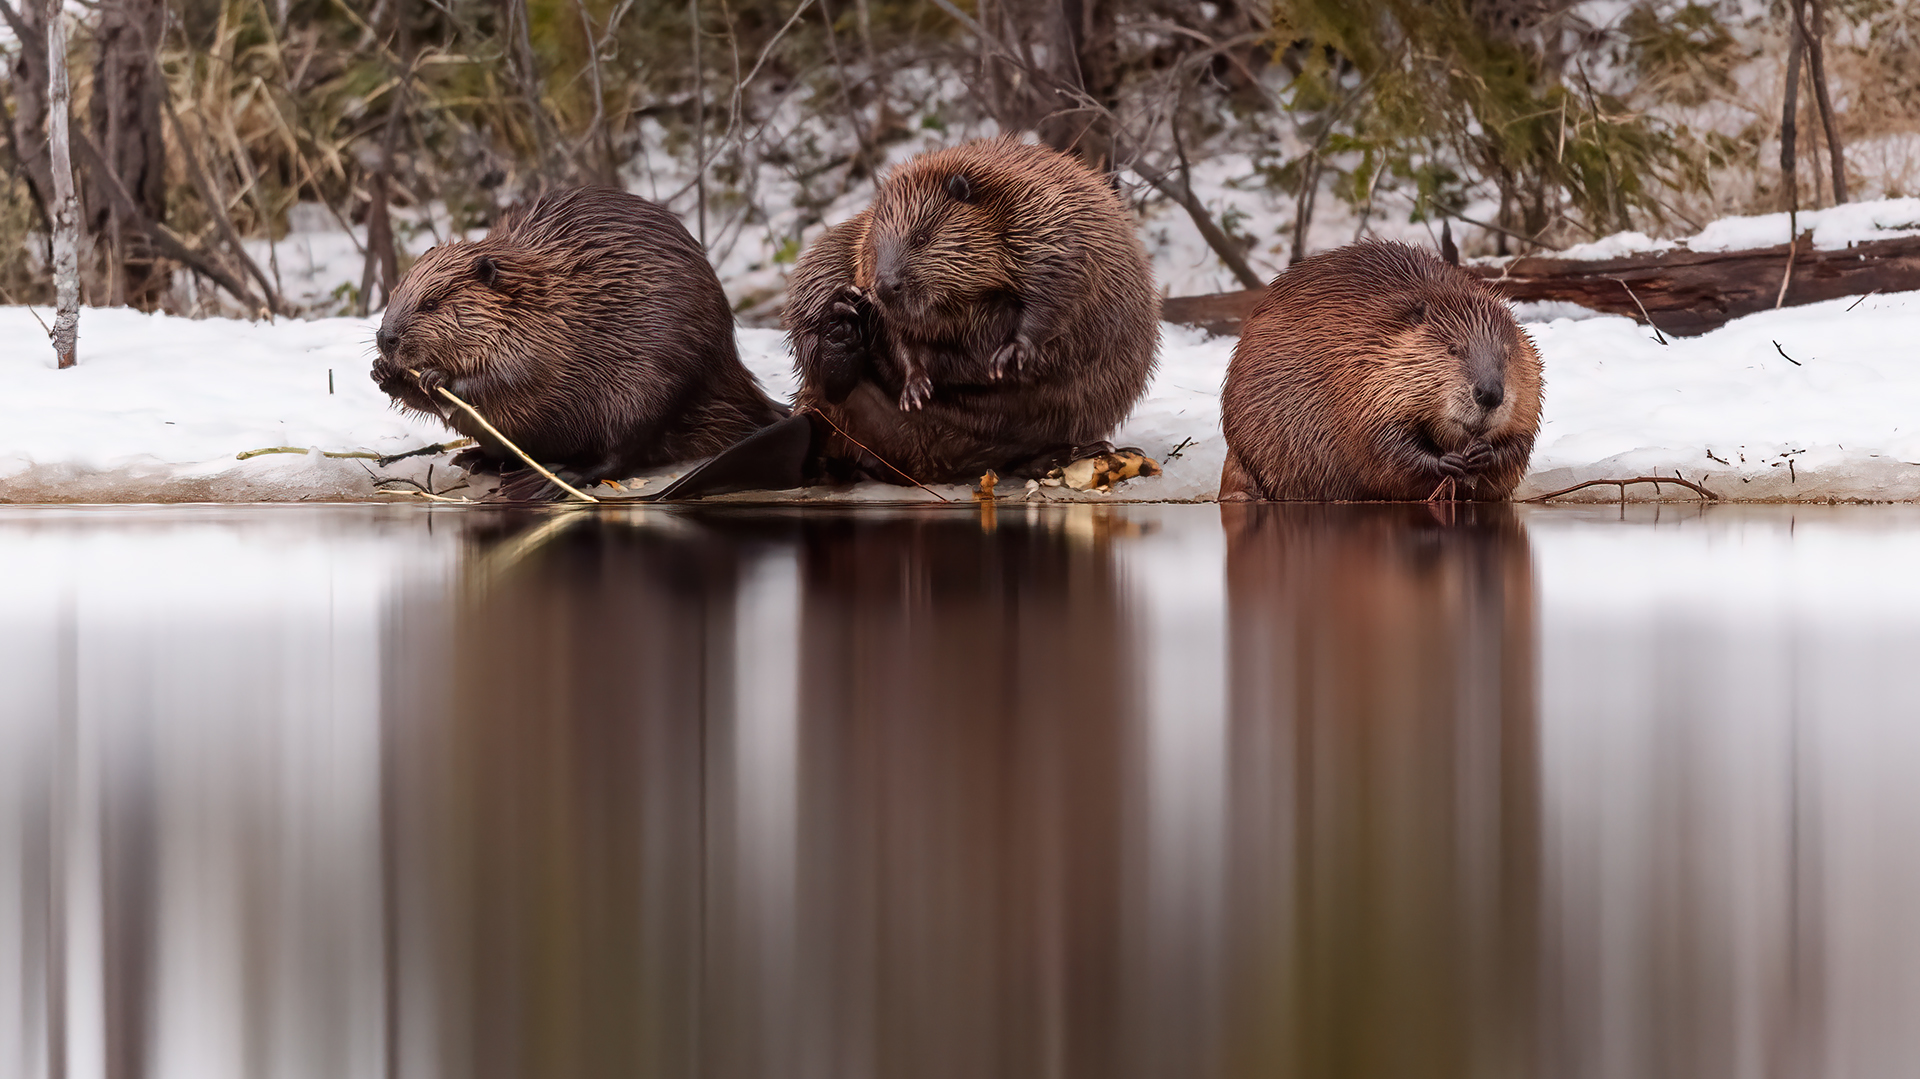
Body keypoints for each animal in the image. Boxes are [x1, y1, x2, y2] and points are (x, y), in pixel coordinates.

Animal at [370, 186, 783, 487]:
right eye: (394, 292)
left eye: (431, 303)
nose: (385, 337)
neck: (540, 295)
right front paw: (383, 373)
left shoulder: (548, 335)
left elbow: (514, 378)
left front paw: (436, 377)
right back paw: (475, 459)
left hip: (646, 391)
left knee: (622, 454)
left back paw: (554, 478)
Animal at [779, 135, 1152, 483]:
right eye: (875, 245)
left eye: (921, 238)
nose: (885, 286)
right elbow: (900, 334)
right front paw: (915, 390)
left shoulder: (1046, 221)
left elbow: (1056, 286)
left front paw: (1009, 354)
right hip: (821, 264)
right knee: (830, 386)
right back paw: (840, 332)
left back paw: (1075, 453)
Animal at [1228, 239, 1543, 499]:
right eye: (1453, 349)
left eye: (1508, 354)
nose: (1489, 393)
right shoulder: (1360, 369)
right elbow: (1378, 442)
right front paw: (1447, 461)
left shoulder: (1530, 385)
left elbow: (1522, 439)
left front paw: (1483, 453)